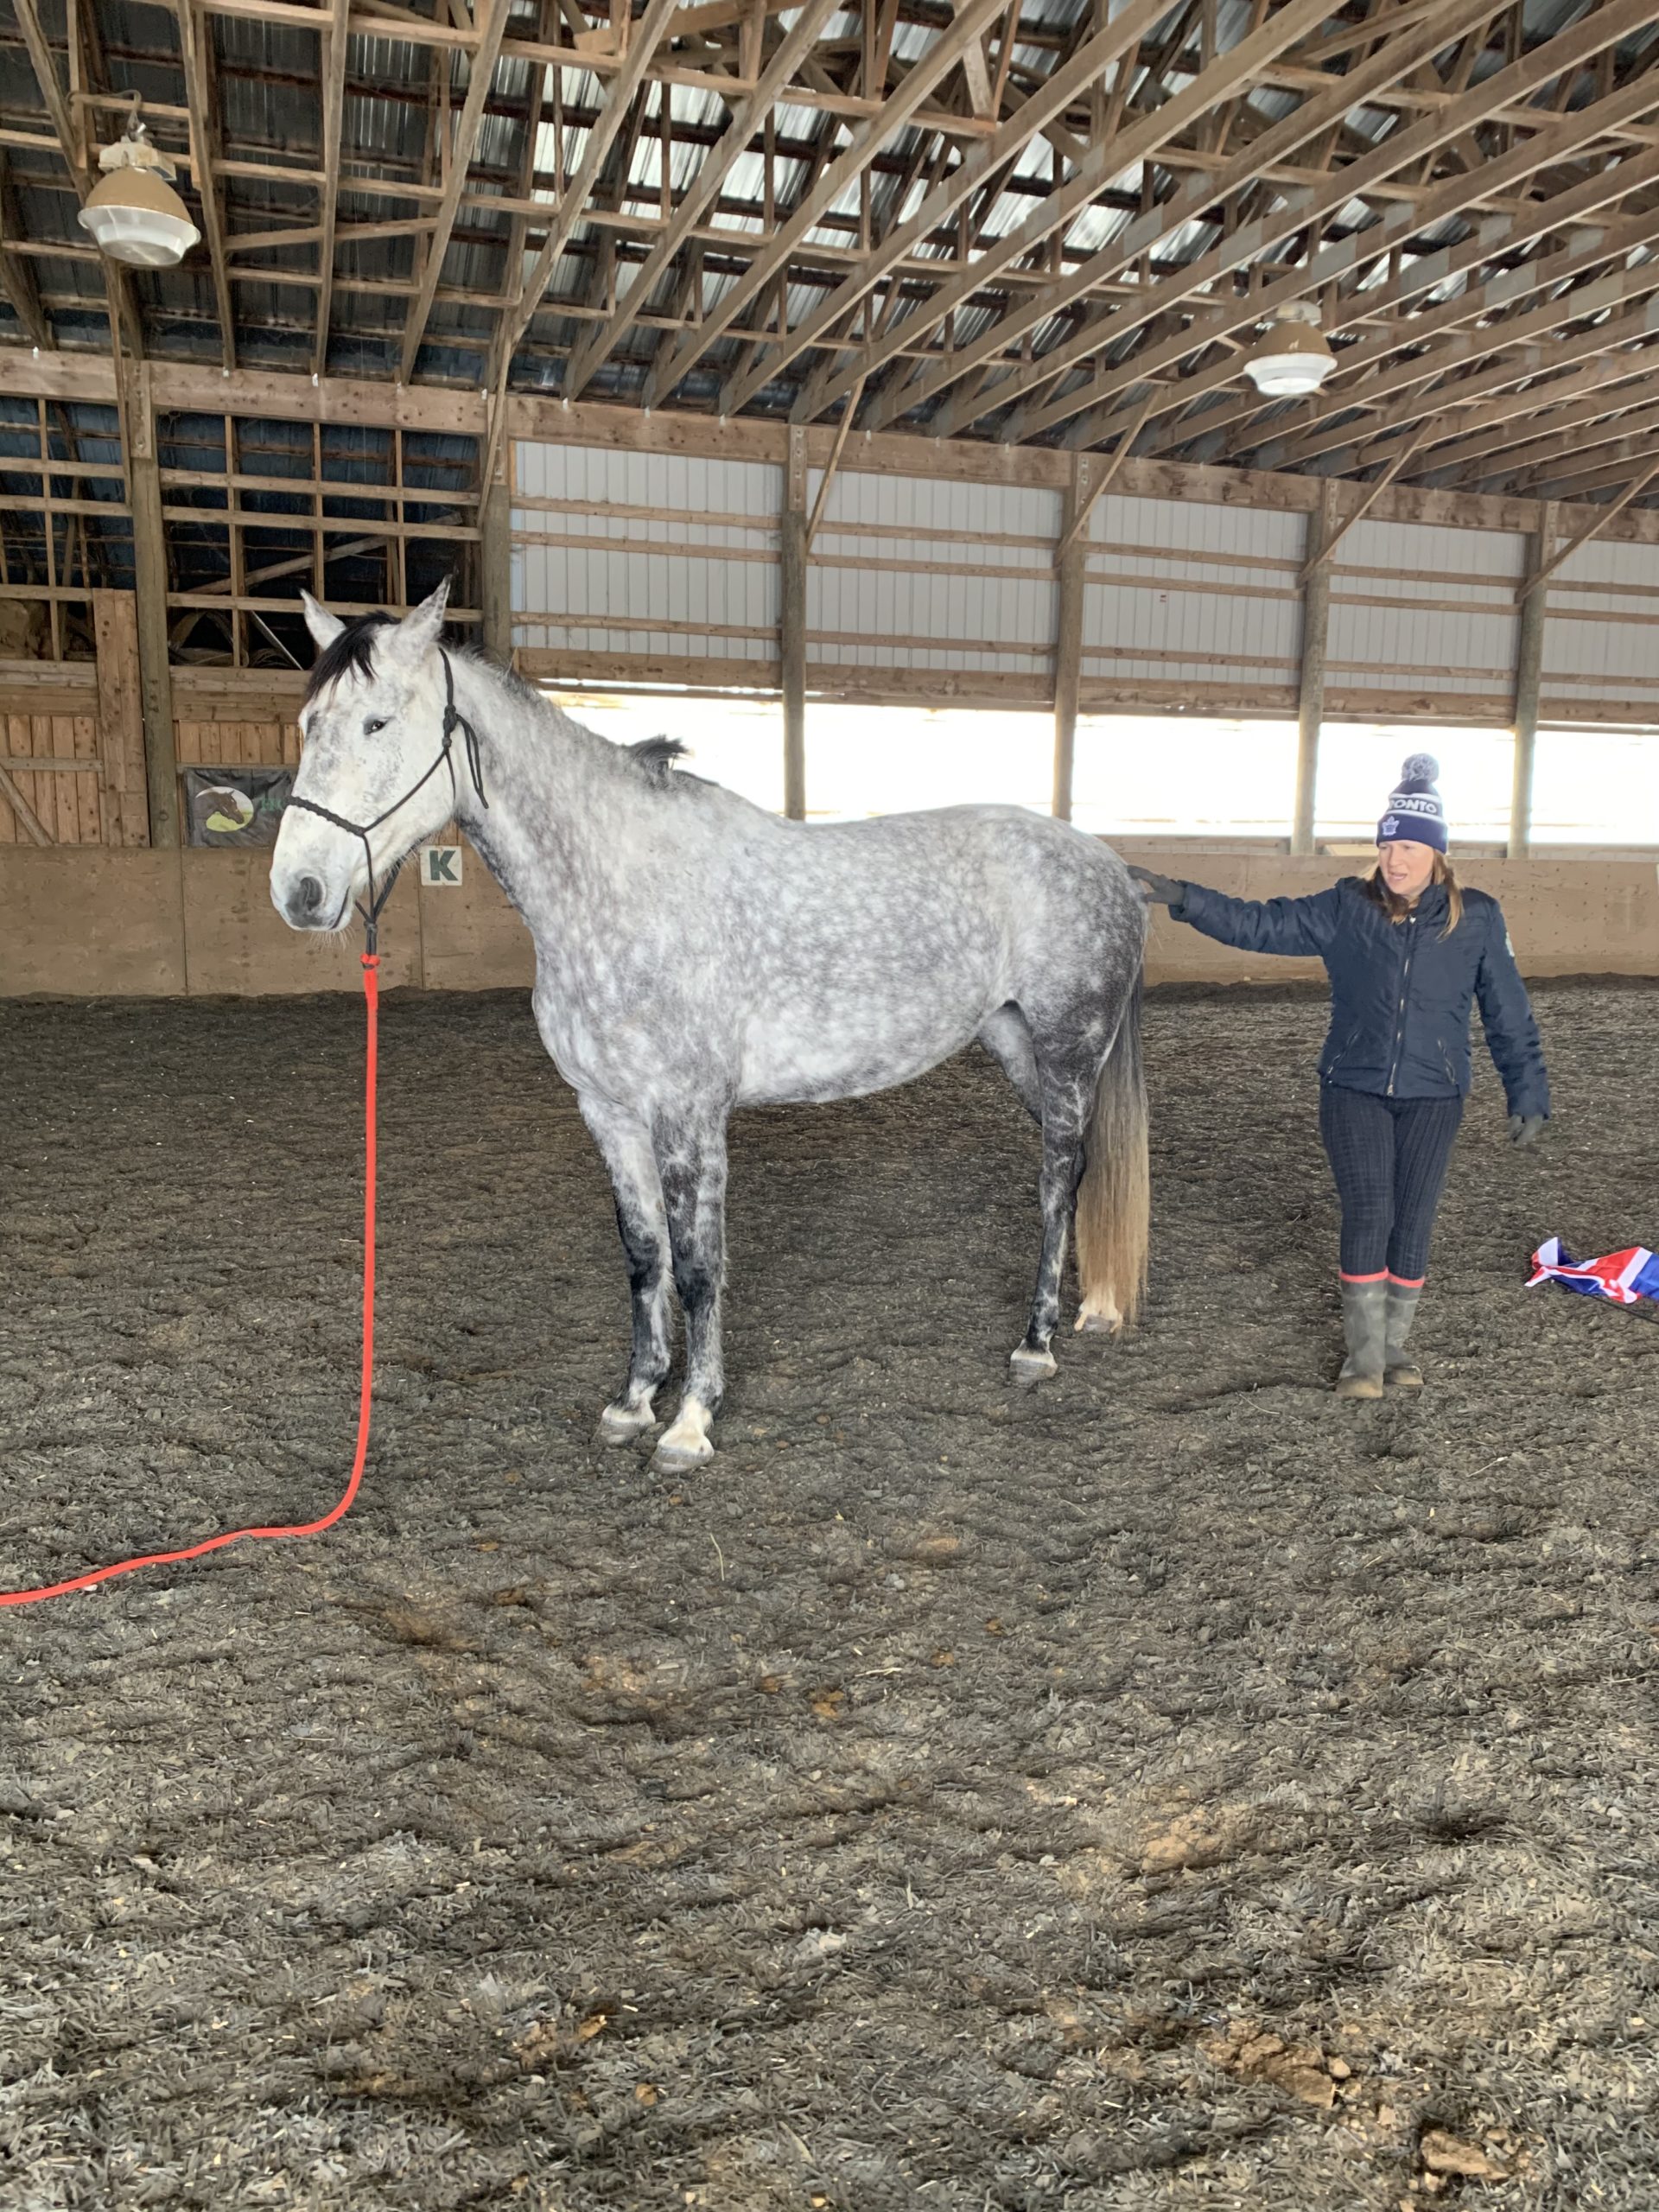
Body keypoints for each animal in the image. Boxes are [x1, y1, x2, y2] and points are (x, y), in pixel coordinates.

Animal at [270, 582, 1150, 1473]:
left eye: (378, 723)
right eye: (308, 724)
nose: (299, 892)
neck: (622, 888)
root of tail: (1112, 866)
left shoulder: (689, 1114)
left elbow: (698, 1267)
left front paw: (691, 1420)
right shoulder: (610, 1112)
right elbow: (644, 1256)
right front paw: (633, 1400)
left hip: (1069, 1048)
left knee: (1057, 1180)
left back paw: (1036, 1344)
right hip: (1015, 1044)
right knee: (1079, 1172)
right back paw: (1089, 1308)